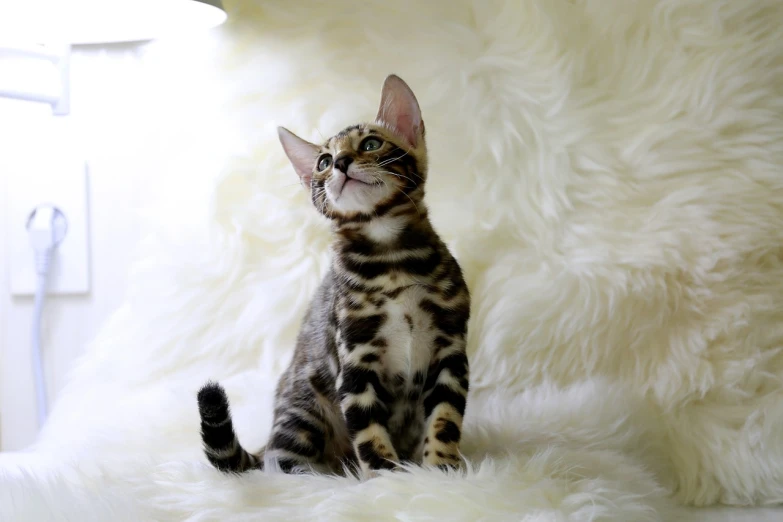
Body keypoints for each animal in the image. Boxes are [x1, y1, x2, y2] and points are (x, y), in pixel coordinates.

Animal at [199, 74, 472, 476]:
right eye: (323, 162)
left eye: (371, 143)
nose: (341, 162)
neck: (392, 260)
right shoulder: (355, 361)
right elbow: (368, 429)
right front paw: (387, 476)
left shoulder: (450, 353)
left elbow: (445, 419)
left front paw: (441, 469)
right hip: (304, 412)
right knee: (279, 461)